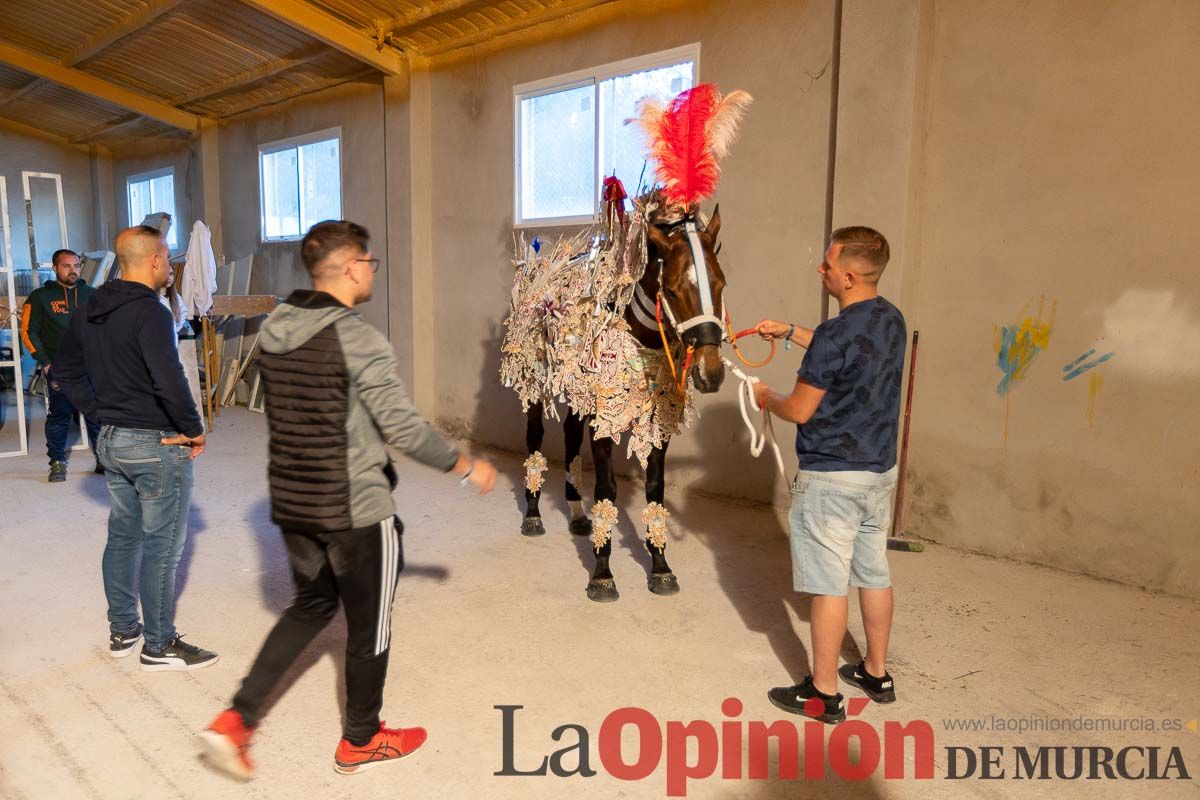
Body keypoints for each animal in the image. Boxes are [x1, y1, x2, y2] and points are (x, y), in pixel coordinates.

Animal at [501, 84, 753, 604]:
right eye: (673, 287)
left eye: (721, 283)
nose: (711, 372)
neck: (642, 341)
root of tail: (536, 276)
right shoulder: (605, 419)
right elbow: (609, 492)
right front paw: (602, 573)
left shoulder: (655, 421)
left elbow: (655, 490)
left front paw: (659, 564)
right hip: (536, 388)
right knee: (535, 444)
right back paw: (534, 514)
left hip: (578, 395)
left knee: (569, 441)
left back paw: (576, 514)